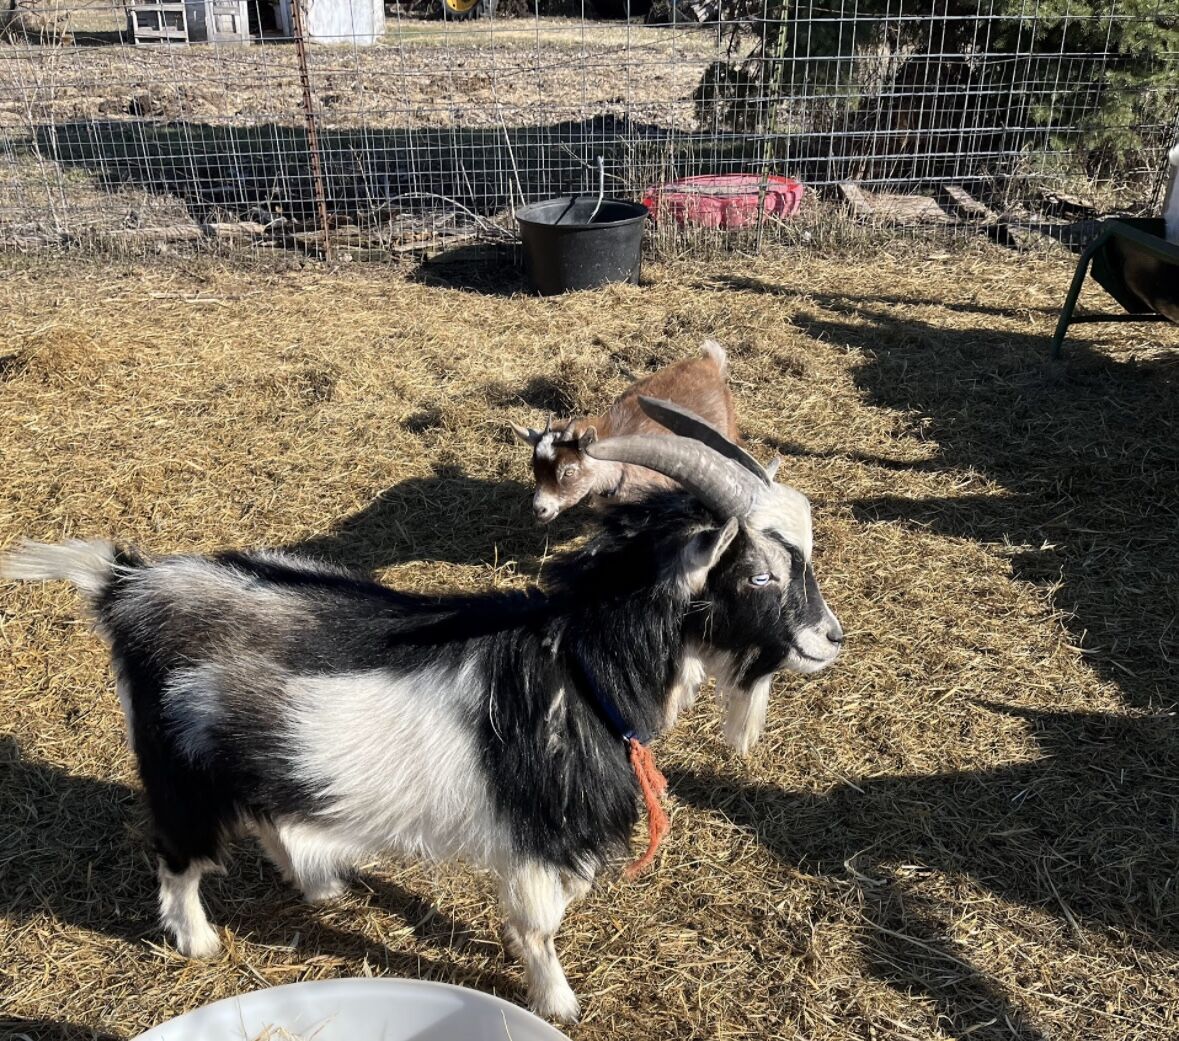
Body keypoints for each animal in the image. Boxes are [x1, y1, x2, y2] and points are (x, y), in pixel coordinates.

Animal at [1, 407, 842, 1023]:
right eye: (760, 574)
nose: (829, 638)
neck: (580, 657)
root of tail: (126, 584)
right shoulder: (538, 829)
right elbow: (539, 923)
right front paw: (558, 1002)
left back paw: (319, 883)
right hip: (181, 766)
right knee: (176, 854)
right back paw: (199, 939)